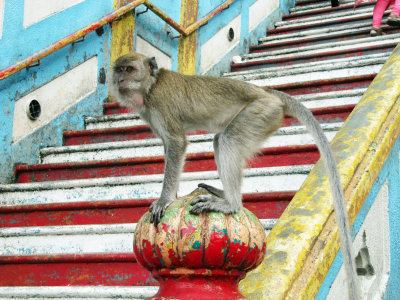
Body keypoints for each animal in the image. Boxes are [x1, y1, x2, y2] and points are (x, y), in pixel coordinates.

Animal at [110, 52, 362, 300]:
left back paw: (230, 203)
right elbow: (168, 146)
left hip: (261, 112)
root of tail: (267, 92)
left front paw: (164, 199)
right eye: (118, 69)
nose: (119, 80)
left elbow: (176, 143)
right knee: (220, 139)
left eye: (129, 69)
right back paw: (222, 193)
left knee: (228, 140)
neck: (150, 87)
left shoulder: (161, 104)